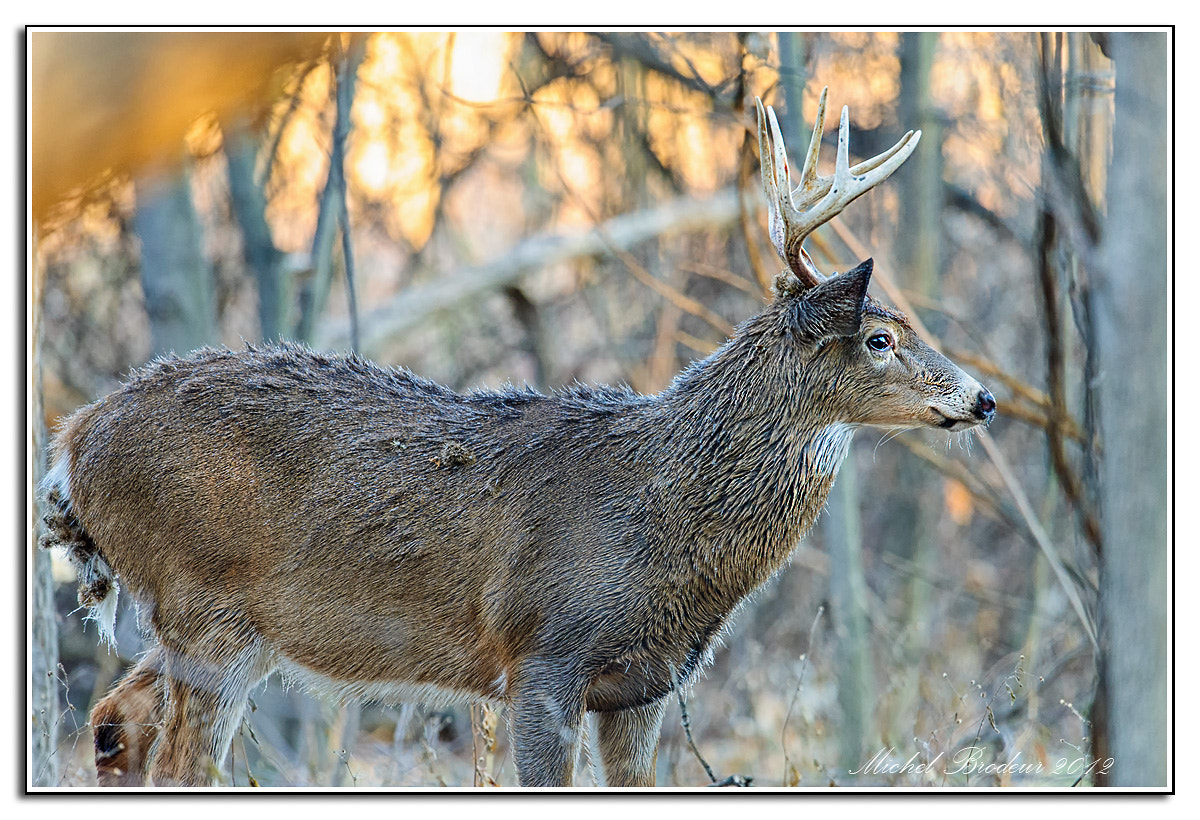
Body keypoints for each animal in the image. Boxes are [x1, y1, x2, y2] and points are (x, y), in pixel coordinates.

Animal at [39, 90, 993, 787]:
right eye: (881, 338)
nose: (983, 399)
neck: (663, 518)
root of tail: (74, 438)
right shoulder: (543, 655)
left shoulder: (642, 685)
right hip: (204, 609)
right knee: (176, 762)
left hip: (195, 622)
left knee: (115, 723)